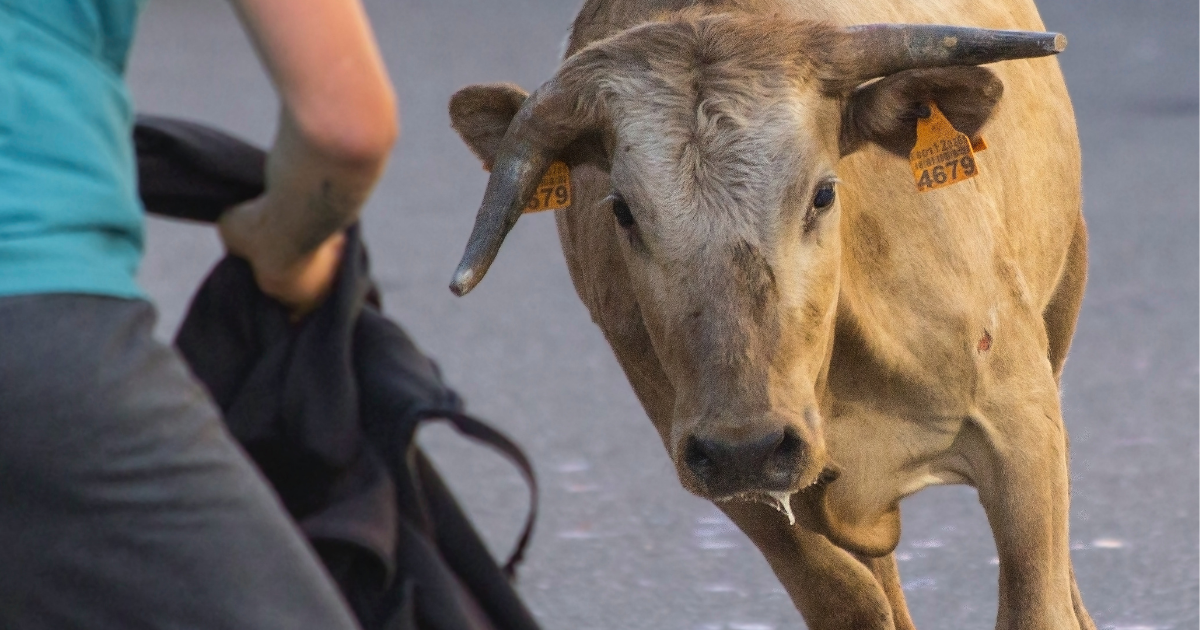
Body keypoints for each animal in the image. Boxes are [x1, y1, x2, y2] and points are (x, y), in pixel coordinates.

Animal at [446, 2, 1094, 624]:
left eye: (824, 192)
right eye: (624, 211)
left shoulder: (1020, 423)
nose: (747, 447)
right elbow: (849, 599)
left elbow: (1037, 605)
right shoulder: (724, 475)